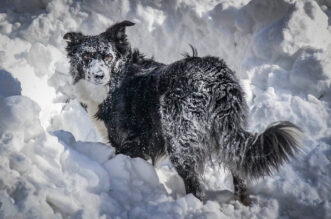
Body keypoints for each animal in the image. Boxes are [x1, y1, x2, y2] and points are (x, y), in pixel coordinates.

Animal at [63, 20, 302, 205]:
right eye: (86, 57)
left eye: (108, 57)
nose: (98, 75)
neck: (116, 82)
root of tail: (216, 78)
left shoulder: (130, 144)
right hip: (230, 135)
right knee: (239, 172)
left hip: (180, 142)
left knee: (196, 187)